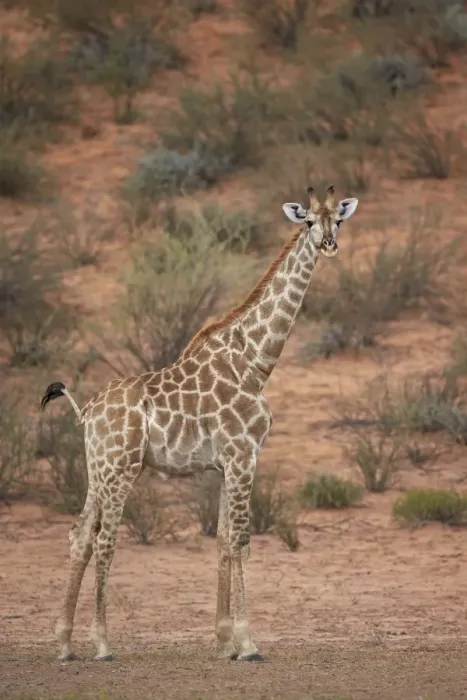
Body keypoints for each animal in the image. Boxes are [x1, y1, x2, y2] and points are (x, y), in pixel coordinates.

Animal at [41, 185, 358, 663]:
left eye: (337, 219)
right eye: (306, 221)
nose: (329, 244)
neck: (256, 362)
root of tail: (87, 410)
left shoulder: (227, 463)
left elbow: (224, 539)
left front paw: (225, 642)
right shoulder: (244, 455)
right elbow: (242, 540)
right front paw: (248, 644)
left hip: (98, 469)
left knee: (79, 536)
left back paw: (63, 644)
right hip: (120, 469)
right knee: (104, 540)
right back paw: (102, 644)